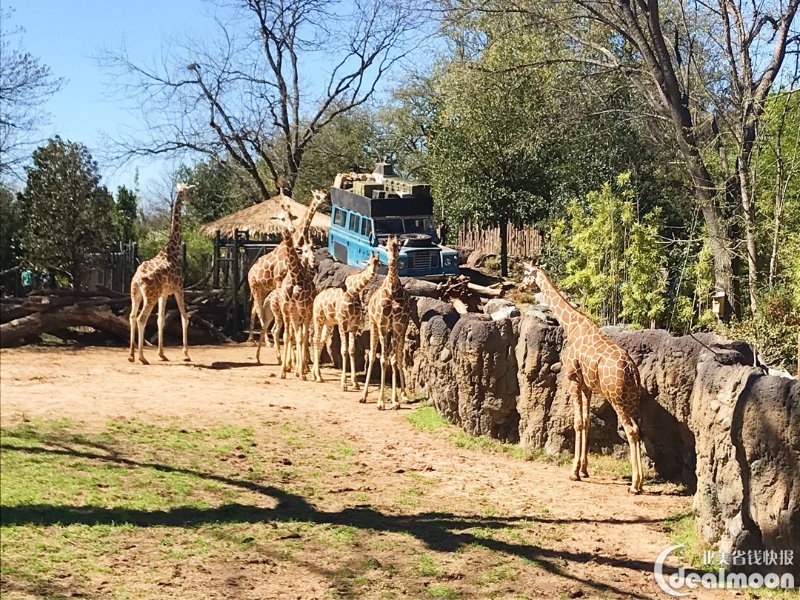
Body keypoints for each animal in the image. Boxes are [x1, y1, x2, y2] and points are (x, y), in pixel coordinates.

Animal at [130, 183, 196, 364]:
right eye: (190, 192)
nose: (193, 202)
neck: (172, 250)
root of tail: (138, 279)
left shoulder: (164, 293)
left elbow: (161, 320)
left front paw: (162, 353)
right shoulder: (179, 288)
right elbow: (184, 317)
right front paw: (186, 354)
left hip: (136, 294)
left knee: (132, 316)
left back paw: (131, 355)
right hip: (150, 296)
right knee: (141, 318)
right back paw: (142, 357)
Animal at [247, 190, 328, 344]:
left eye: (324, 195)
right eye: (318, 196)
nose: (324, 200)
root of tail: (249, 271)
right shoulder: (279, 279)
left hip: (263, 288)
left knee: (254, 308)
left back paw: (252, 338)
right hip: (254, 287)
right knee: (258, 309)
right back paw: (266, 340)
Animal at [310, 252, 380, 390]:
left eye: (378, 263)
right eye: (369, 263)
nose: (373, 271)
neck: (353, 291)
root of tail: (317, 297)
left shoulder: (354, 324)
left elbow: (352, 350)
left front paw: (355, 383)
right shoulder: (342, 322)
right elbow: (343, 350)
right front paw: (344, 384)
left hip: (329, 323)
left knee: (321, 341)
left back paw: (316, 374)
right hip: (318, 318)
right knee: (315, 340)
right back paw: (318, 376)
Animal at [362, 237, 412, 410]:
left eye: (398, 247)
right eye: (386, 247)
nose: (391, 260)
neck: (392, 290)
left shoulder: (397, 326)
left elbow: (395, 359)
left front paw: (396, 400)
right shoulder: (383, 325)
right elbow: (382, 360)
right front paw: (380, 402)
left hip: (396, 331)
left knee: (395, 356)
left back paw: (402, 397)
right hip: (374, 325)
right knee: (372, 355)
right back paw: (363, 396)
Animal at [520, 262, 644, 492]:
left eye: (526, 274)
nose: (522, 286)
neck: (570, 325)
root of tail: (632, 370)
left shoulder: (573, 380)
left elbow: (577, 422)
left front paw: (574, 472)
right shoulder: (587, 387)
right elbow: (586, 421)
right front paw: (584, 469)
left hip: (617, 399)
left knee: (631, 430)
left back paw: (635, 485)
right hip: (632, 399)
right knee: (638, 430)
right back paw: (639, 483)